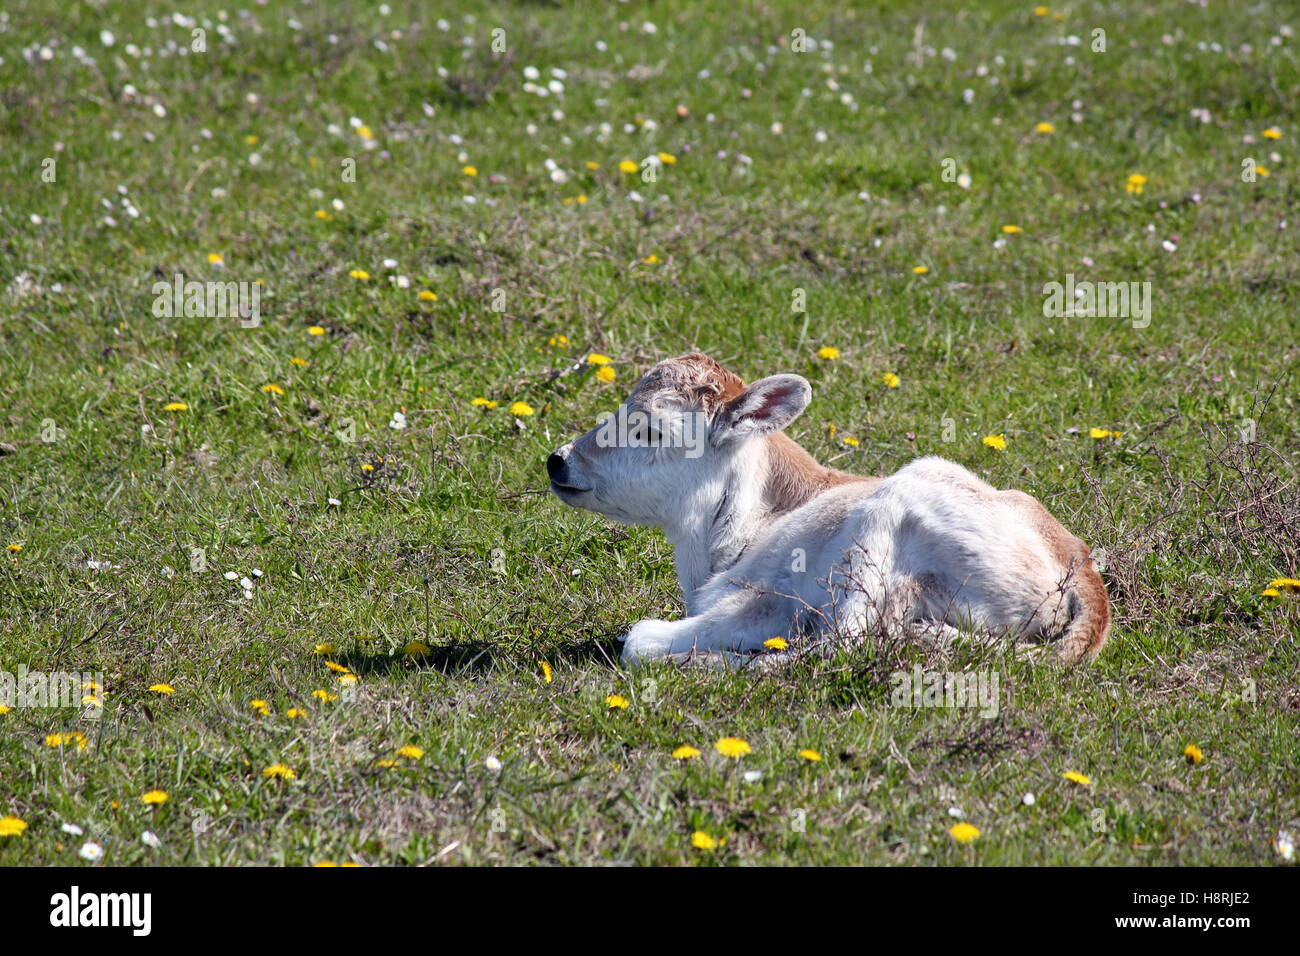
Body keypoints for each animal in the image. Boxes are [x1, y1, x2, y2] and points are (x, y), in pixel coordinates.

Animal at [546, 351, 1107, 665]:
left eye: (650, 429)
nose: (559, 460)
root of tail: (1079, 564)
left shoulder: (765, 600)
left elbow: (639, 640)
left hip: (884, 521)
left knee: (842, 644)